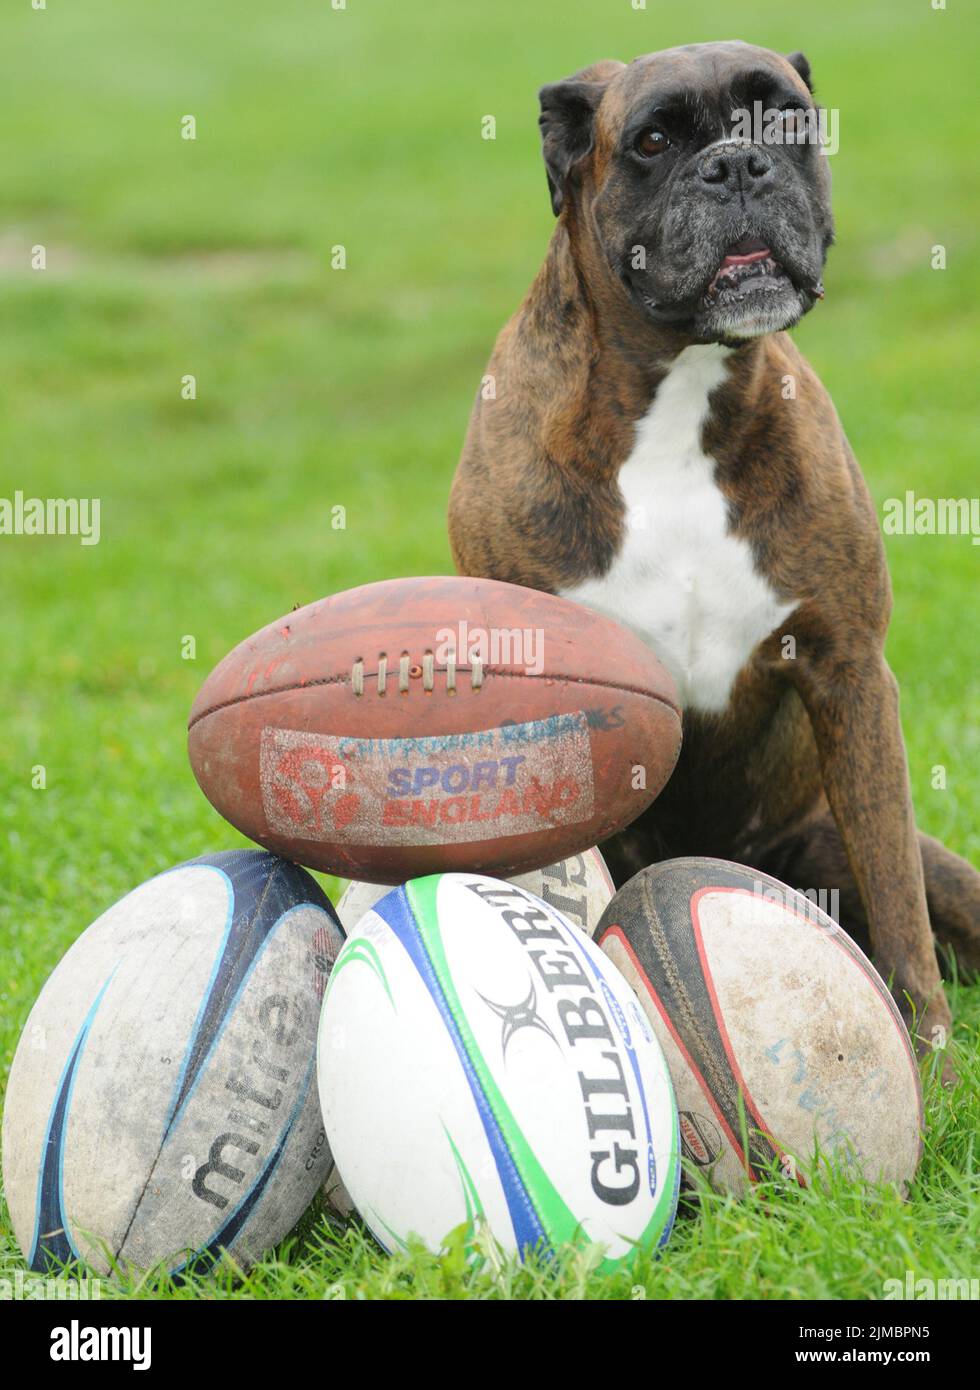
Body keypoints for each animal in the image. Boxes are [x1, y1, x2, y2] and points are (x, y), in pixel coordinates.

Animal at [450, 38, 978, 1056]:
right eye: (654, 141)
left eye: (788, 118)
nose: (738, 165)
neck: (678, 393)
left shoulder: (850, 674)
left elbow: (896, 897)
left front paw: (928, 1052)